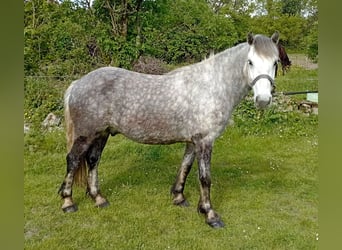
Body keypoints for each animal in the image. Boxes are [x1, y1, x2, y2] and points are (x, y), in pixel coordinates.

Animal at [58, 31, 278, 229]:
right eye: (250, 62)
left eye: (275, 63)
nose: (263, 100)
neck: (211, 87)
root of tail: (77, 83)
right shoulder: (205, 141)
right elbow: (205, 178)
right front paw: (210, 214)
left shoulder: (193, 141)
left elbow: (185, 167)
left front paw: (181, 199)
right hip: (85, 135)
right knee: (73, 160)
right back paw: (68, 203)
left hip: (101, 134)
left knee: (93, 160)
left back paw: (98, 199)